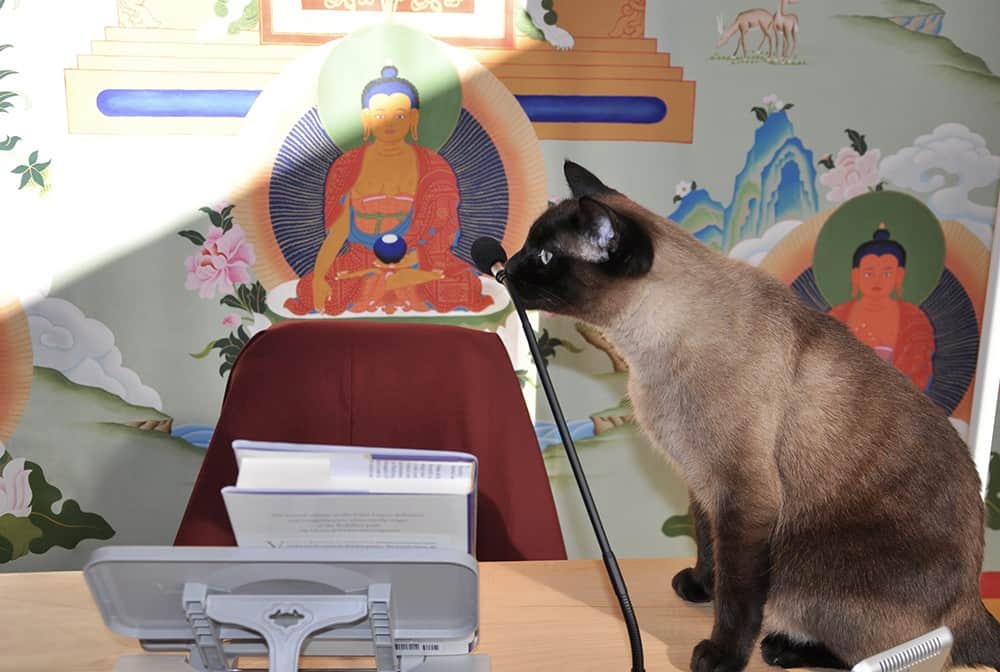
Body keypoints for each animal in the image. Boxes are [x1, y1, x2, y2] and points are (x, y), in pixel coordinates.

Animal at [512, 160, 1000, 668]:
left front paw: (722, 654)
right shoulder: (702, 483)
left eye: (543, 256)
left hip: (804, 573)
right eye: (529, 245)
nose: (504, 267)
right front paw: (699, 587)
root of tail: (974, 600)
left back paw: (781, 648)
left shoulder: (743, 495)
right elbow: (709, 548)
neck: (647, 356)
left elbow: (739, 593)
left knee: (891, 654)